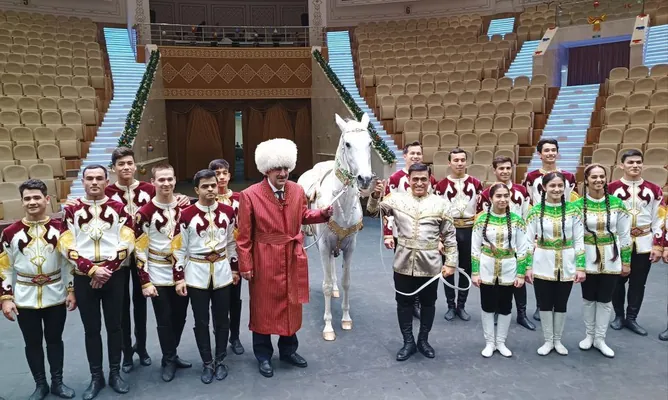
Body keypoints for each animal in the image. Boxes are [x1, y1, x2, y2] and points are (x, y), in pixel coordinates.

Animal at [298, 111, 376, 340]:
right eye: (348, 144)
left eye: (370, 142)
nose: (365, 179)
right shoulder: (323, 246)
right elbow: (323, 285)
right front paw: (328, 327)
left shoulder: (350, 247)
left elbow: (346, 281)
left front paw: (346, 319)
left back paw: (334, 288)